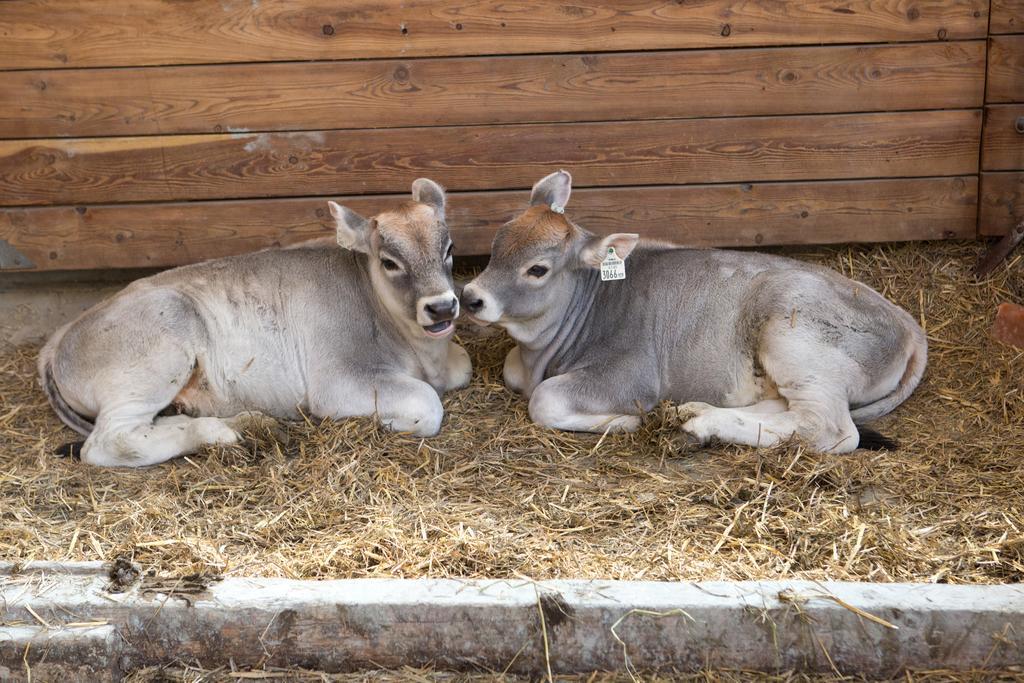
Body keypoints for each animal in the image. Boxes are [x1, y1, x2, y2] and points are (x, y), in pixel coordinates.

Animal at [38, 179, 471, 466]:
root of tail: (57, 340)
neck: (422, 354)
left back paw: (247, 422)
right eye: (389, 262)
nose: (442, 307)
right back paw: (221, 433)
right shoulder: (339, 380)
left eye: (449, 248)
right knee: (110, 442)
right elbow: (426, 404)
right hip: (151, 361)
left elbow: (463, 366)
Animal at [464, 169, 929, 454]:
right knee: (785, 409)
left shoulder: (632, 374)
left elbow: (544, 400)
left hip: (797, 341)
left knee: (829, 428)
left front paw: (625, 421)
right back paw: (696, 413)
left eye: (537, 269)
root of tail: (910, 326)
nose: (470, 296)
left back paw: (700, 425)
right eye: (497, 244)